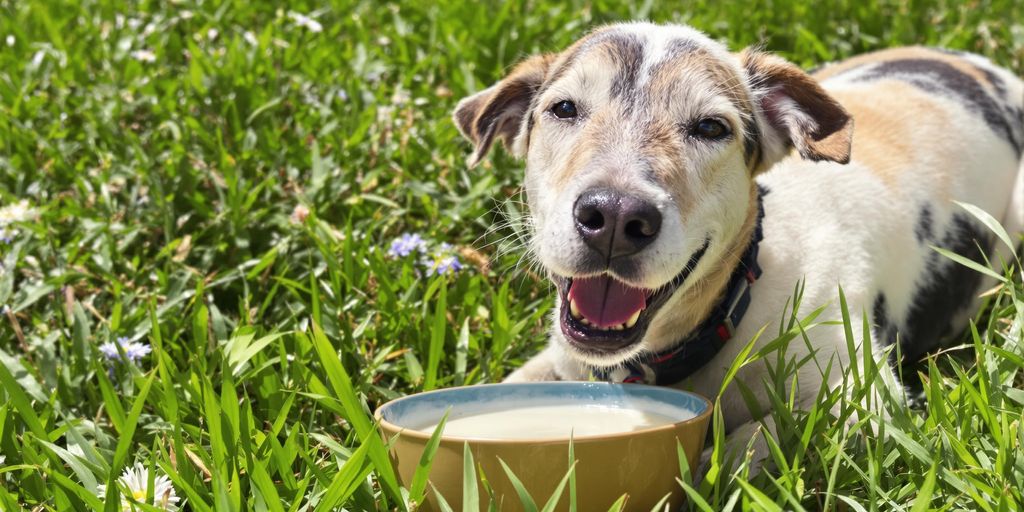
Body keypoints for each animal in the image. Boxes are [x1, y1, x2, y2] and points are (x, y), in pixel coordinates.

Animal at [454, 23, 1024, 468]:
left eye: (711, 127)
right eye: (564, 109)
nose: (614, 216)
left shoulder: (867, 401)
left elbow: (752, 441)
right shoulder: (560, 360)